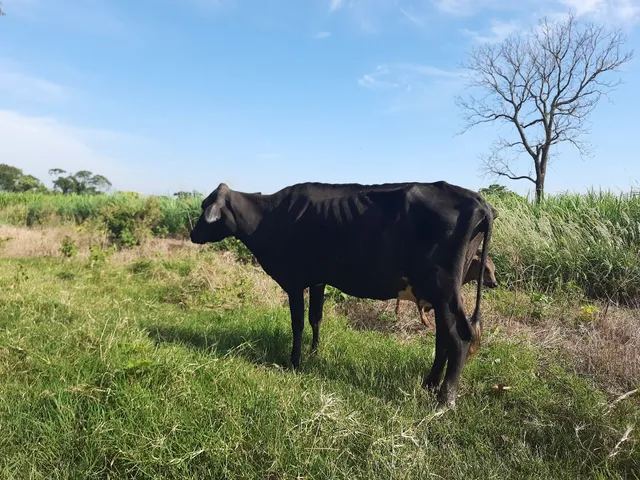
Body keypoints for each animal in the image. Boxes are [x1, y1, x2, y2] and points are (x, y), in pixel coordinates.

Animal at [190, 180, 496, 409]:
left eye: (206, 208)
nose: (192, 235)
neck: (268, 217)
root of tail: (477, 200)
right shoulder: (317, 280)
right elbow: (315, 318)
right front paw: (314, 353)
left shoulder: (294, 280)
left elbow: (298, 323)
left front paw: (294, 363)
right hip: (439, 295)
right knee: (444, 338)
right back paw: (429, 384)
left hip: (444, 290)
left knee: (459, 337)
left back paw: (444, 400)